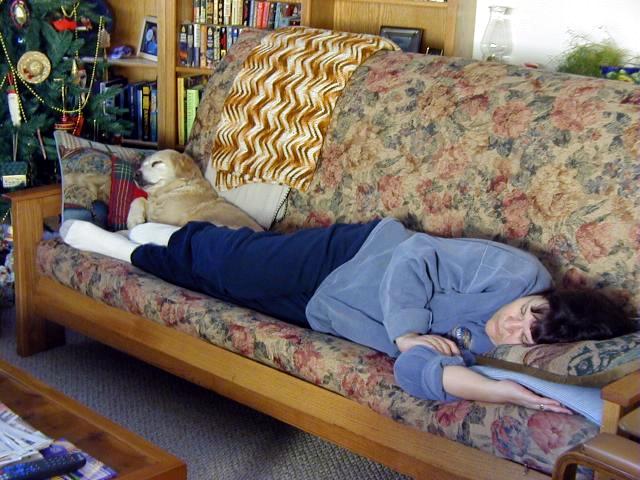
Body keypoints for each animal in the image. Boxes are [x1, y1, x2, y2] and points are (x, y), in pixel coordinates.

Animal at [127, 150, 263, 231]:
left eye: (156, 163)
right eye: (143, 165)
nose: (136, 174)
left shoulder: (163, 219)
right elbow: (139, 199)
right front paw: (133, 219)